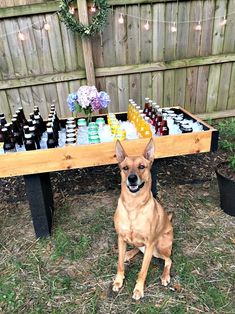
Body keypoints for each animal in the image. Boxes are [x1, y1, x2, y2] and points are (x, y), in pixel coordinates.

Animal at [113, 139, 173, 300]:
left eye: (141, 166)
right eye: (125, 168)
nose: (132, 178)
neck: (133, 206)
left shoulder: (150, 243)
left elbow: (143, 271)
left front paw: (138, 290)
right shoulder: (121, 238)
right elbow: (119, 264)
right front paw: (118, 281)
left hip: (158, 247)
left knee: (168, 260)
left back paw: (165, 276)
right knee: (137, 248)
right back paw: (128, 254)